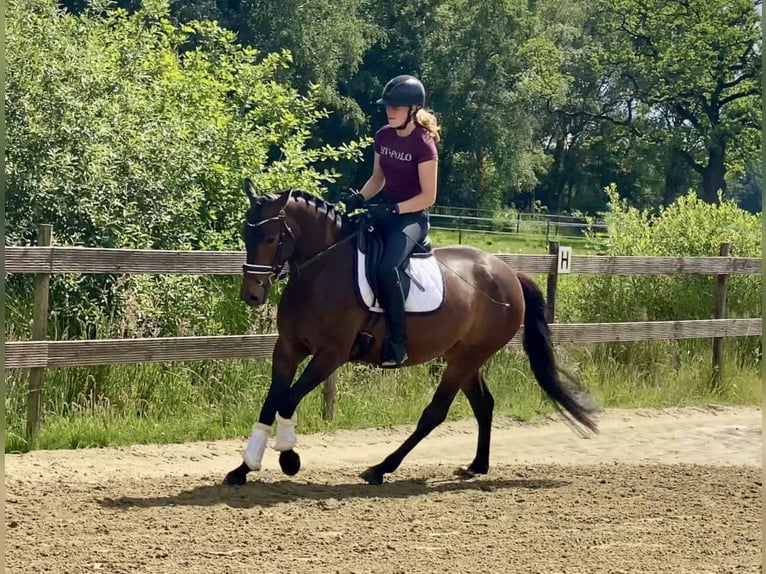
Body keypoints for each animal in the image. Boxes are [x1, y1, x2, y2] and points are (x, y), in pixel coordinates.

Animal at [222, 179, 600, 486]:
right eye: (245, 234)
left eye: (271, 237)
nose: (252, 295)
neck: (321, 271)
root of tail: (509, 273)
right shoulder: (287, 348)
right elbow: (271, 403)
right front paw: (244, 467)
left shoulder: (330, 354)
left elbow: (287, 400)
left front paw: (289, 458)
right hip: (464, 356)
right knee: (484, 405)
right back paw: (476, 466)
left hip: (465, 358)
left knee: (436, 413)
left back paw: (381, 468)